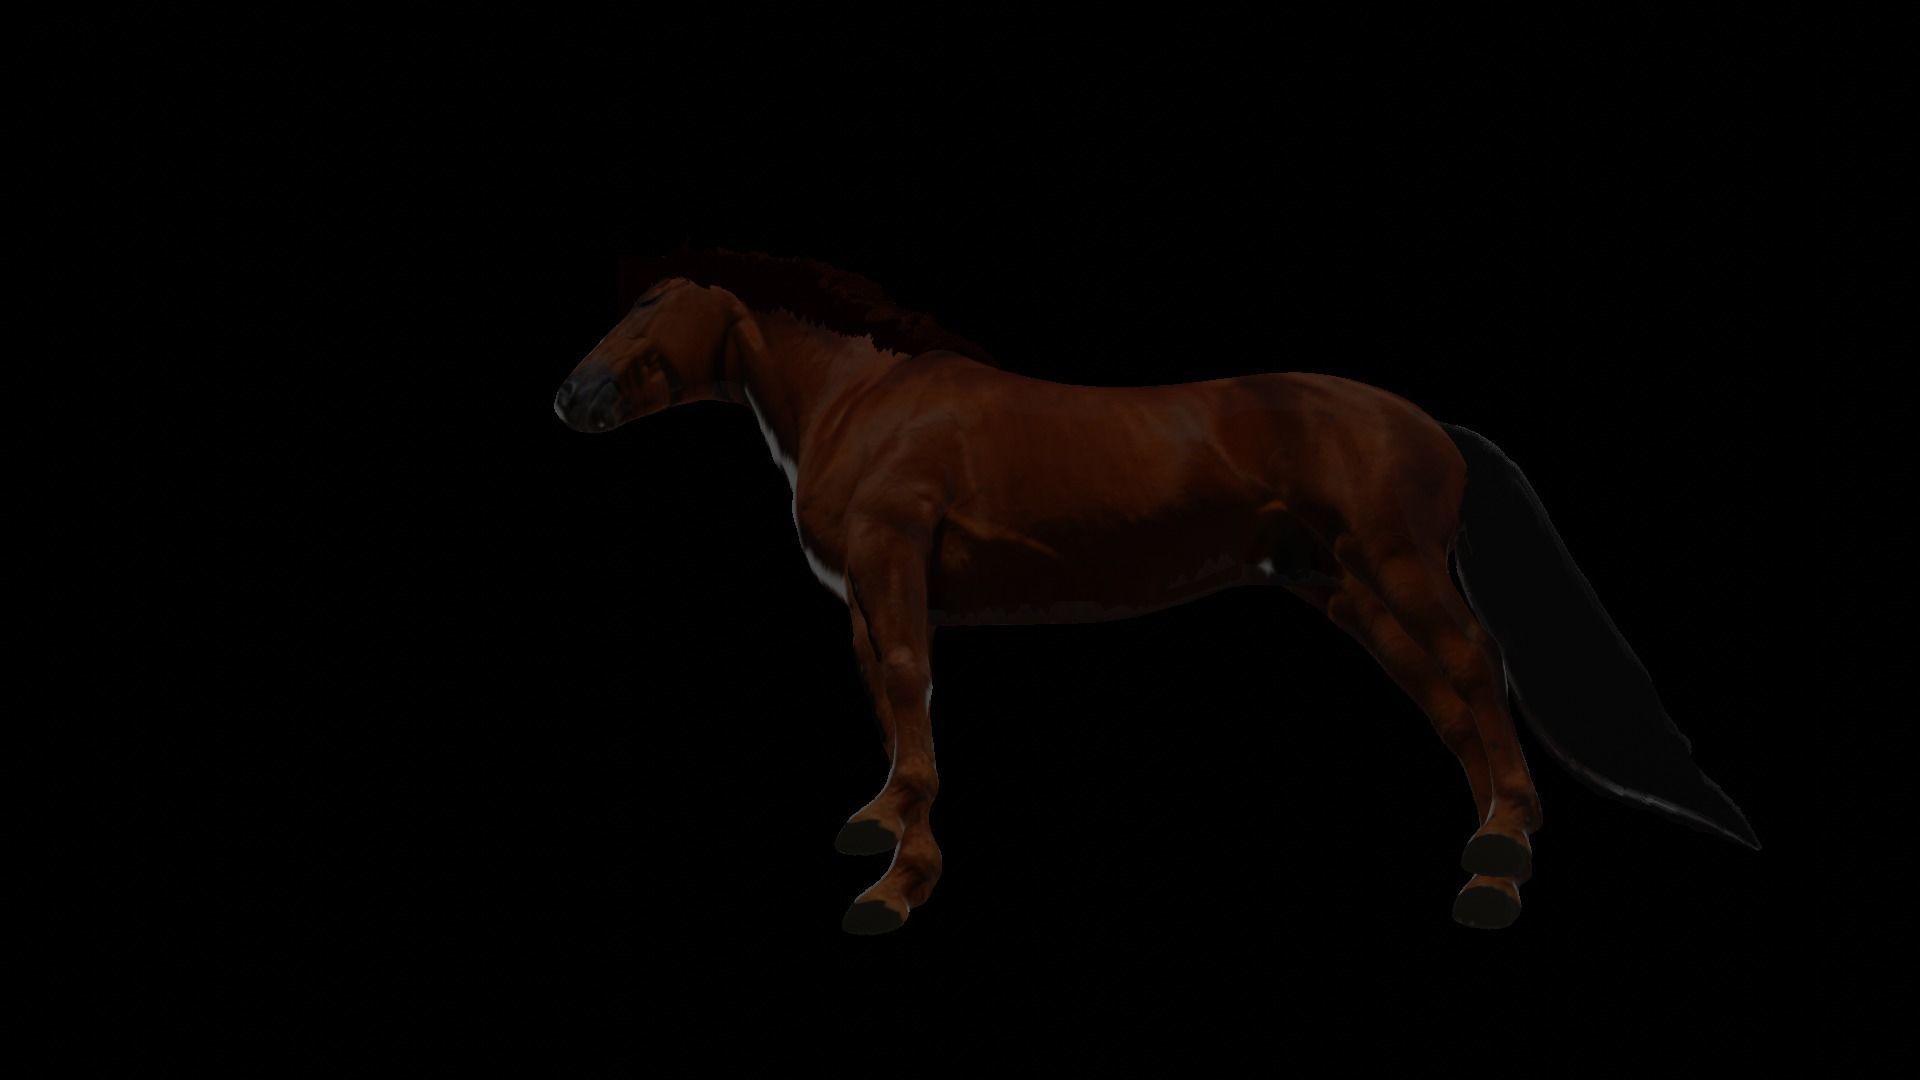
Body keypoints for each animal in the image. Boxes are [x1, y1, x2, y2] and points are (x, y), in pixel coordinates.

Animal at [552, 251, 1760, 934]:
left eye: (650, 303)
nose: (571, 396)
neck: (868, 399)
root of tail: (1433, 427)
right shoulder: (867, 592)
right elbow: (889, 705)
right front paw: (881, 822)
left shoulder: (894, 565)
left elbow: (908, 692)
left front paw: (897, 887)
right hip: (1345, 590)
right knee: (1444, 694)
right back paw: (1490, 845)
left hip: (1398, 567)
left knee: (1474, 666)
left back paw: (1503, 862)